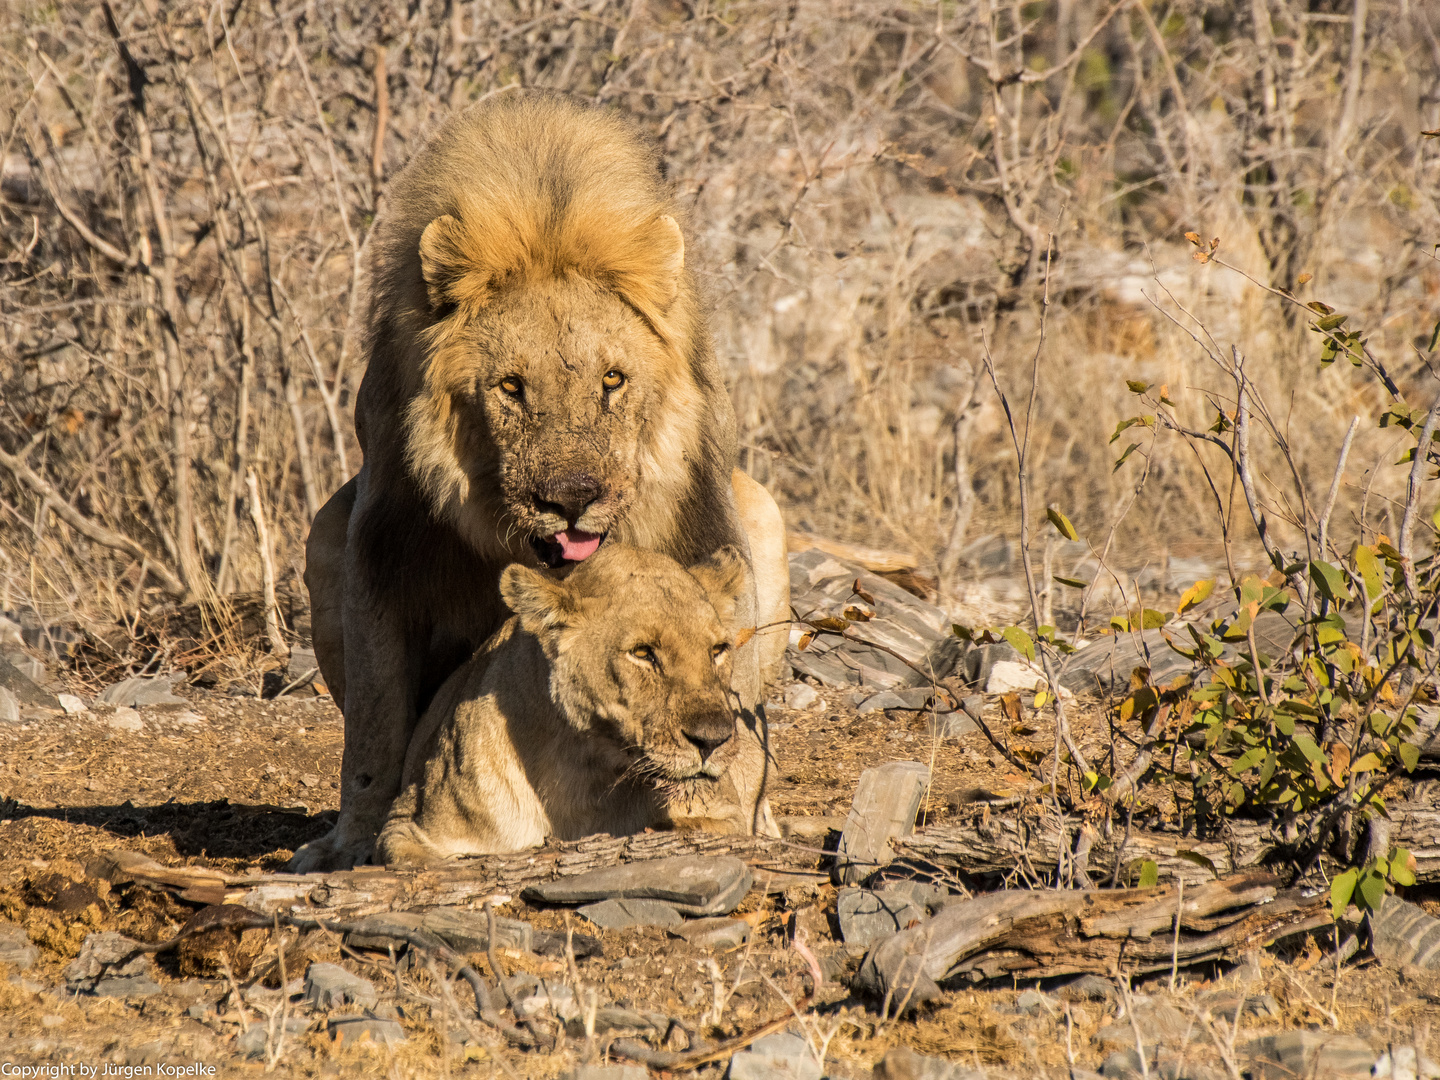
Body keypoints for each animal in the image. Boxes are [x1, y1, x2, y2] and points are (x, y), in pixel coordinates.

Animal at [371, 544, 754, 869]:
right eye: (643, 652)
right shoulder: (404, 825)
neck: (584, 772)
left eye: (717, 650)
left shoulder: (728, 814)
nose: (712, 741)